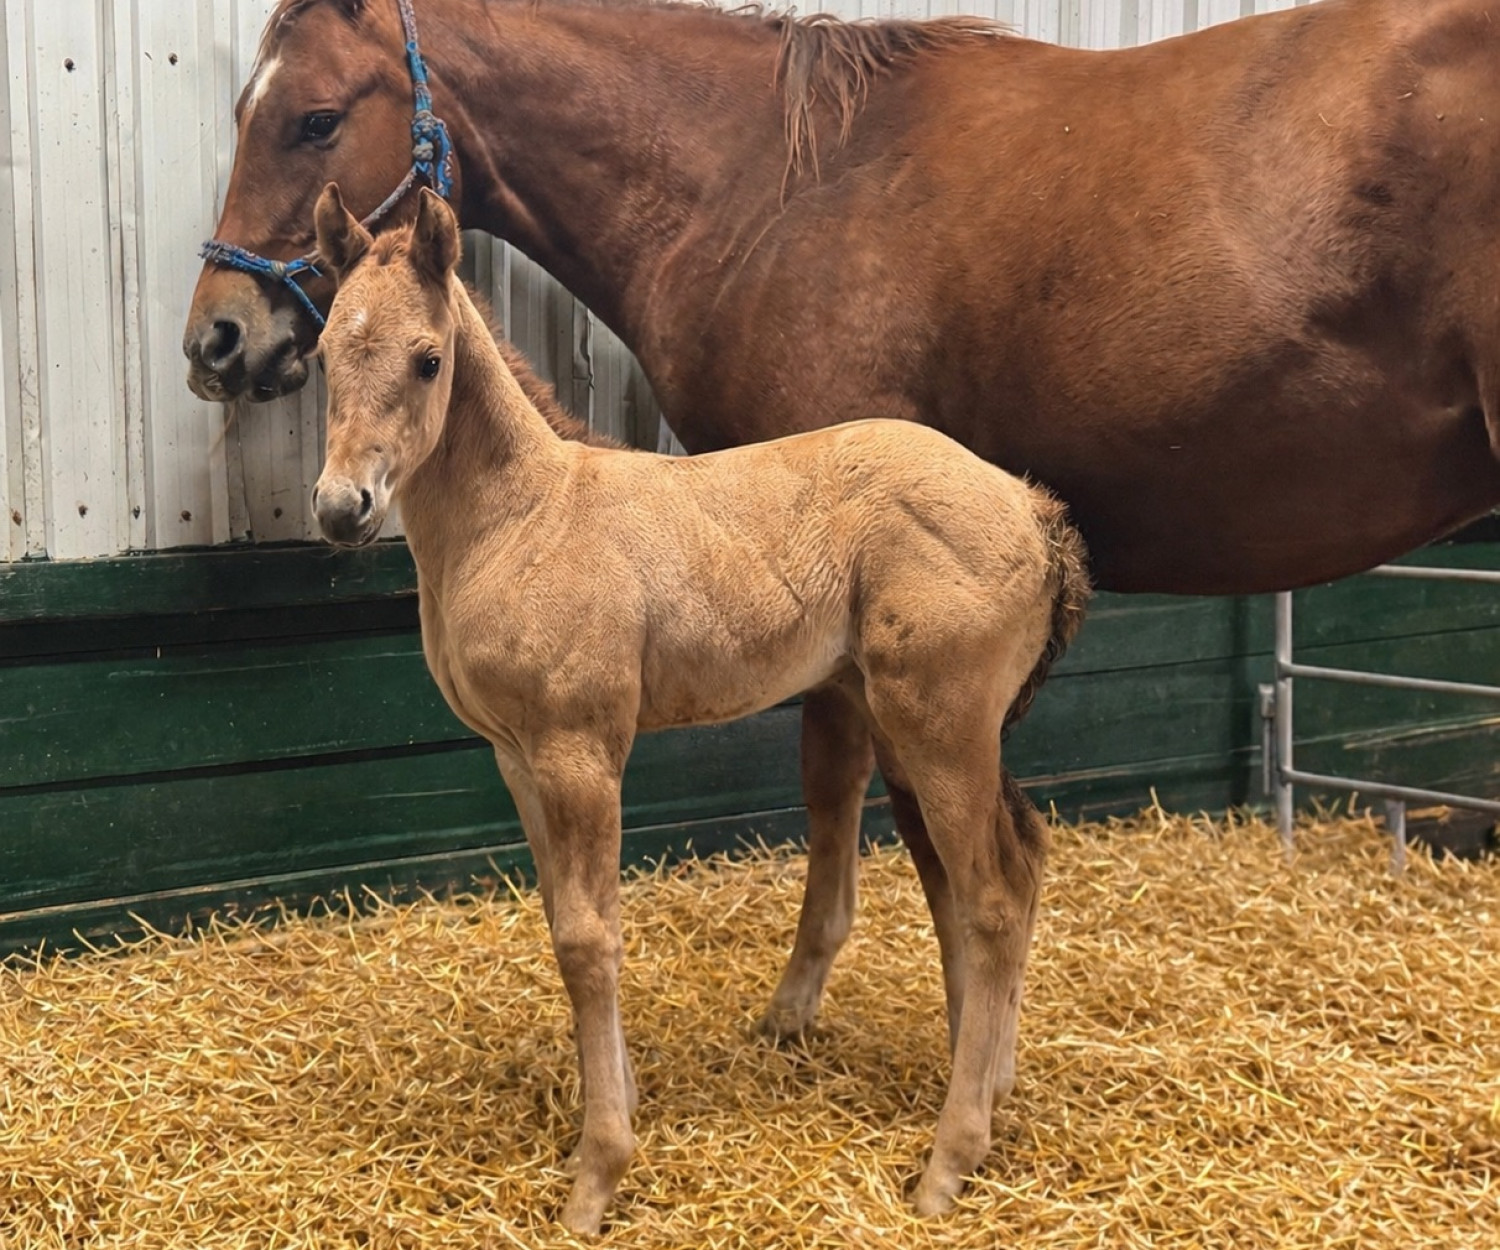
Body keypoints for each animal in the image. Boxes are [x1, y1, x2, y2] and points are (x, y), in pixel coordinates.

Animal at [309, 183, 1090, 1230]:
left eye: (428, 358)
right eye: (322, 355)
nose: (340, 508)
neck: (523, 518)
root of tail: (1034, 513)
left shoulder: (580, 750)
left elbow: (589, 940)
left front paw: (598, 1173)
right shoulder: (517, 756)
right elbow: (564, 916)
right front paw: (617, 1110)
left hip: (942, 725)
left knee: (995, 897)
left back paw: (947, 1163)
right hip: (930, 729)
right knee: (999, 872)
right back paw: (991, 1092)